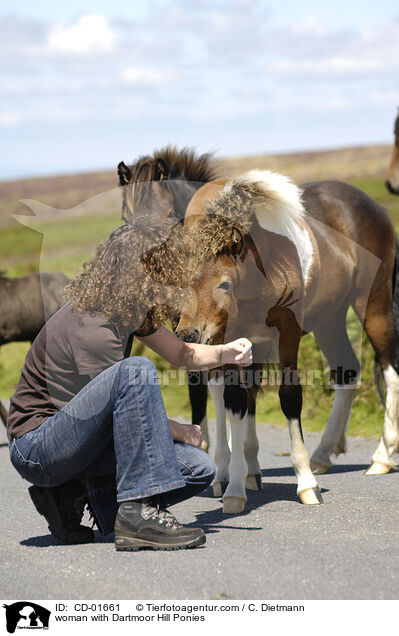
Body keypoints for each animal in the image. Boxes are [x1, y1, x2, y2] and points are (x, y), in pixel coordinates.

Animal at [177, 171, 399, 516]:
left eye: (224, 284)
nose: (188, 334)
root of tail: (371, 206)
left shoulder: (288, 333)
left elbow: (289, 397)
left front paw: (306, 484)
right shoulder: (236, 342)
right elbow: (236, 401)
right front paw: (235, 490)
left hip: (374, 304)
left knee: (390, 372)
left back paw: (381, 458)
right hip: (330, 318)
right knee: (347, 370)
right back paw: (323, 454)